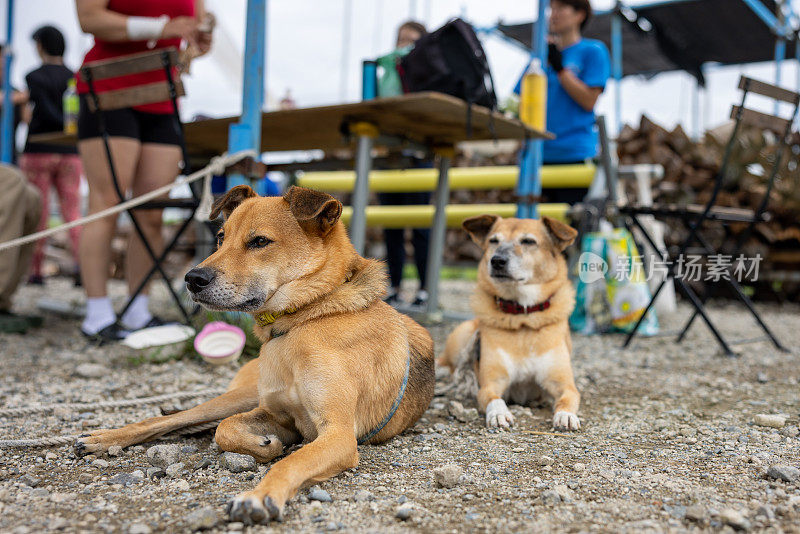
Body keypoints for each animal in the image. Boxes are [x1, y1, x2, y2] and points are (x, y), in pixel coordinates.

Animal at [74, 186, 434, 524]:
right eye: (221, 238)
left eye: (260, 241)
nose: (192, 278)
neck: (306, 316)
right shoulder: (278, 415)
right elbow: (226, 430)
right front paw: (265, 446)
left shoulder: (338, 434)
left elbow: (290, 461)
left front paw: (259, 496)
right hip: (239, 396)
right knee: (173, 419)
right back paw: (104, 437)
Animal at [438, 216, 580, 434]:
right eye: (493, 241)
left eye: (528, 241)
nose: (497, 261)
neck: (522, 316)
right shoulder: (491, 383)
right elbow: (493, 398)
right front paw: (498, 414)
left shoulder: (564, 384)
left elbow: (568, 398)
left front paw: (566, 415)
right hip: (462, 335)